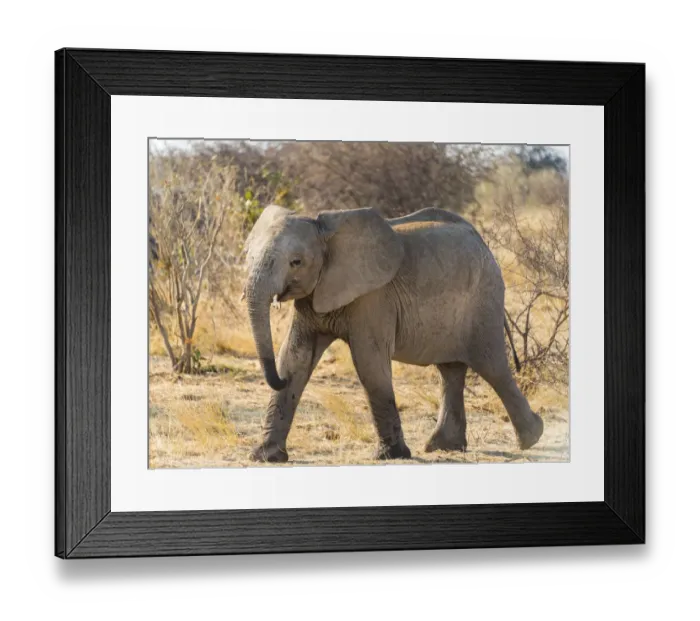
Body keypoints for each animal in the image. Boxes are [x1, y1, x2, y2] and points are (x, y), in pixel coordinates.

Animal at [242, 204, 544, 462]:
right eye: (248, 257)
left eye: (296, 262)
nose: (277, 380)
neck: (325, 231)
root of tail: (482, 241)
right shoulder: (314, 295)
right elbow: (296, 358)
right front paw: (265, 457)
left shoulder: (373, 298)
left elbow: (369, 363)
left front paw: (391, 455)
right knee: (451, 371)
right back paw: (444, 447)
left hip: (484, 299)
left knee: (492, 366)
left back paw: (532, 437)